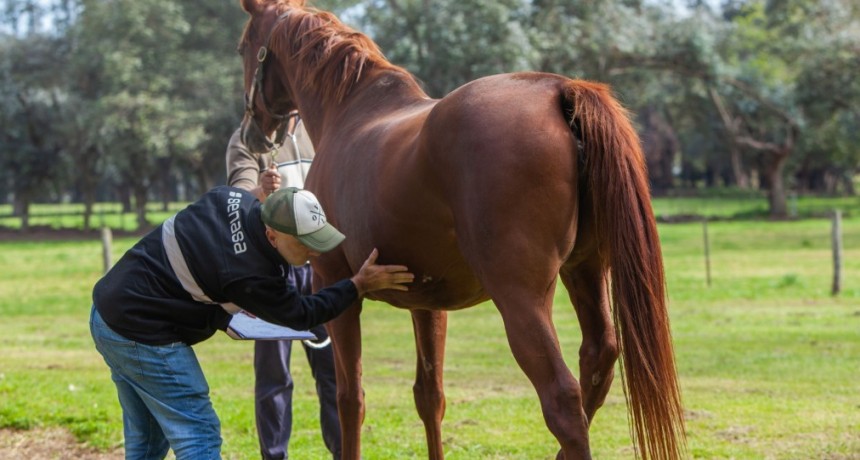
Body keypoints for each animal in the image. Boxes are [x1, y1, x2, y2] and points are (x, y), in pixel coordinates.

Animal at [236, 1, 685, 458]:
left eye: (243, 46)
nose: (253, 133)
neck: (350, 112)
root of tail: (559, 90)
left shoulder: (335, 284)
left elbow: (349, 399)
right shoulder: (426, 303)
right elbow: (429, 396)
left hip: (521, 297)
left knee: (563, 401)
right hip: (586, 270)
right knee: (597, 360)